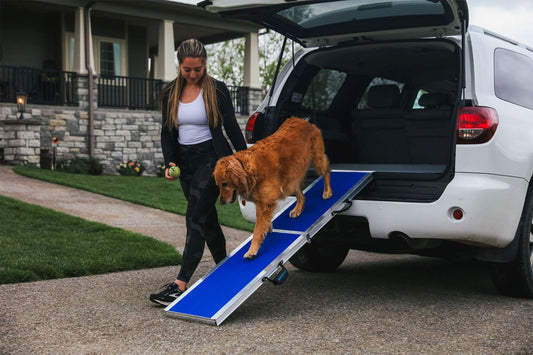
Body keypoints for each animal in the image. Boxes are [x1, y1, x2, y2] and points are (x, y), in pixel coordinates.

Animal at [213, 117, 330, 258]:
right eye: (218, 185)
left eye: (225, 183)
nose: (221, 202)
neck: (247, 169)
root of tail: (301, 120)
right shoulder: (261, 202)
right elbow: (262, 224)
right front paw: (267, 228)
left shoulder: (264, 204)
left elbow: (257, 230)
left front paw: (252, 250)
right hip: (292, 175)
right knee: (301, 196)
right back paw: (297, 209)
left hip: (316, 158)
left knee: (326, 171)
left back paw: (327, 192)